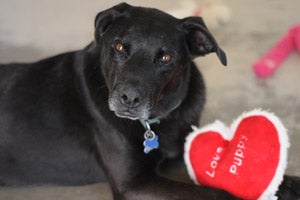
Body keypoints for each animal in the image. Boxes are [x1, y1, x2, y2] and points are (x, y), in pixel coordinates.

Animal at [0, 3, 300, 200]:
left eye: (165, 57)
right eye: (119, 46)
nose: (129, 99)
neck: (160, 119)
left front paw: (287, 184)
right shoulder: (133, 184)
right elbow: (215, 193)